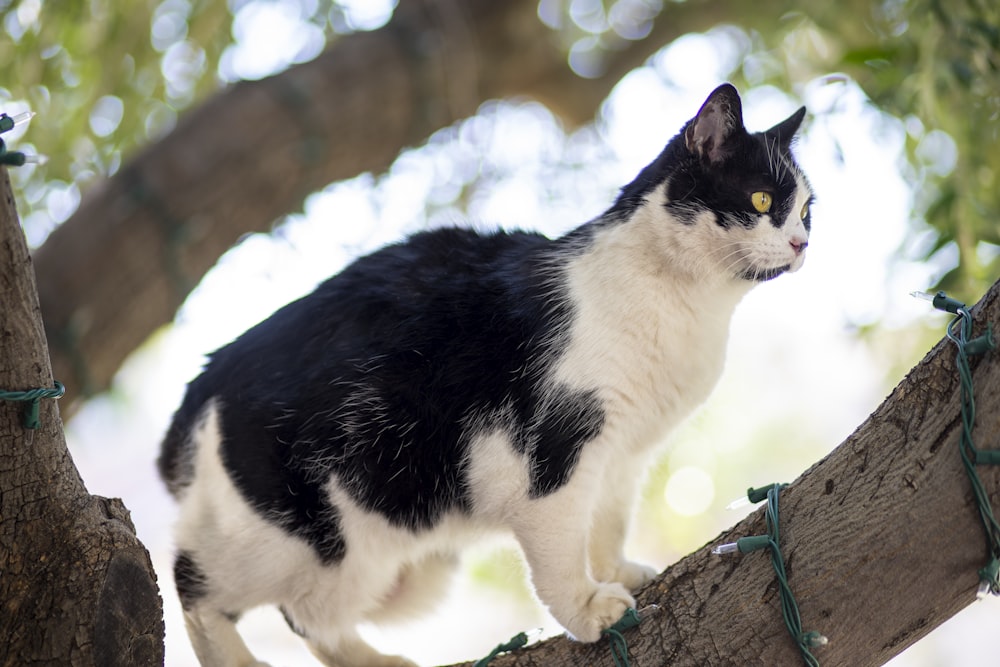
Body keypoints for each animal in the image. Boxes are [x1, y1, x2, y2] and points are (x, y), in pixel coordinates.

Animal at [156, 85, 812, 667]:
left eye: (808, 209)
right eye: (760, 201)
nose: (802, 243)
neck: (687, 307)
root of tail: (206, 376)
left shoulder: (622, 456)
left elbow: (606, 525)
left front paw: (616, 571)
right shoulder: (552, 456)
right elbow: (558, 553)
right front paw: (586, 611)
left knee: (309, 617)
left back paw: (379, 663)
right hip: (296, 533)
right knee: (194, 584)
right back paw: (234, 658)